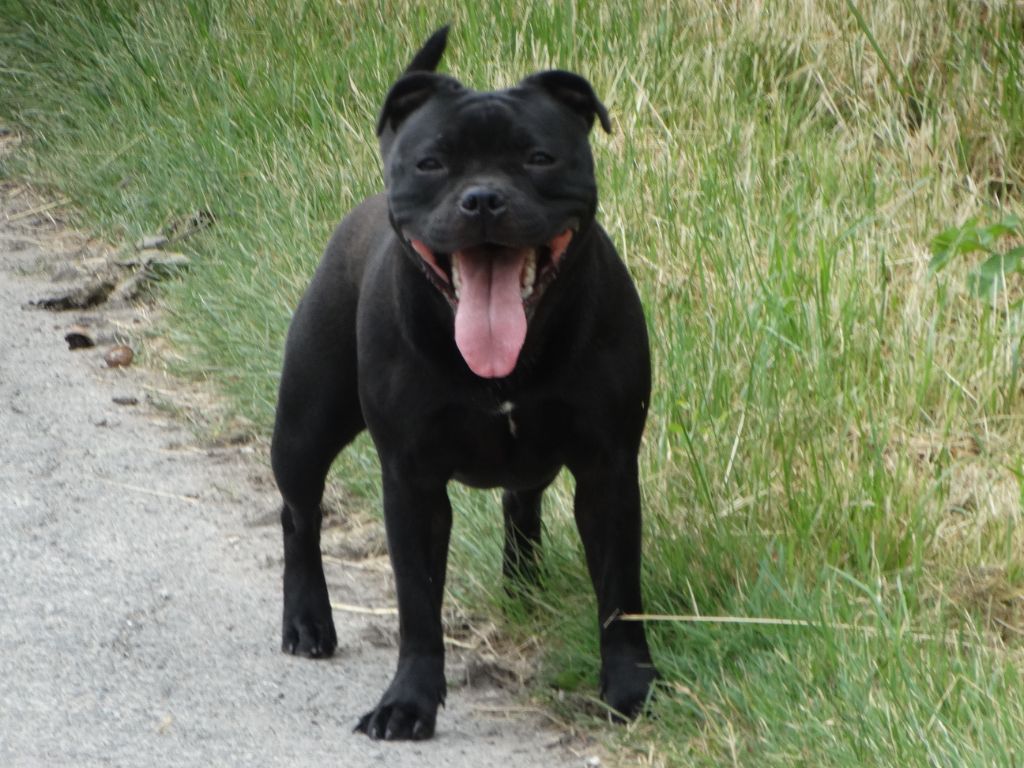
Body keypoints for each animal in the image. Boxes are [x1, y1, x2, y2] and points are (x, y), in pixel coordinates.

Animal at [271, 26, 658, 741]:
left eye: (538, 157)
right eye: (431, 164)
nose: (482, 198)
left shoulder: (609, 471)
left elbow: (620, 596)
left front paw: (630, 687)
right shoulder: (413, 482)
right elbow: (417, 605)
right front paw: (408, 702)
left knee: (520, 505)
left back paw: (524, 591)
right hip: (307, 426)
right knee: (299, 513)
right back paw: (308, 620)